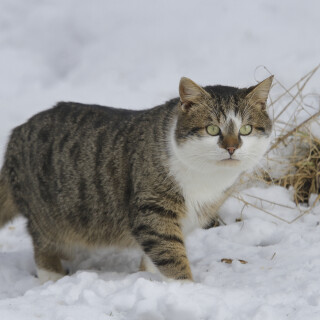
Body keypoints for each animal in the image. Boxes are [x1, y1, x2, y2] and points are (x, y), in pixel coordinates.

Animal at [0, 76, 272, 284]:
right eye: (212, 129)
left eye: (246, 129)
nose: (232, 148)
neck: (206, 177)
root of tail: (16, 134)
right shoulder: (153, 208)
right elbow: (170, 253)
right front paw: (186, 289)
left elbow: (156, 255)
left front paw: (151, 279)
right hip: (47, 215)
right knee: (43, 248)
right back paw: (53, 279)